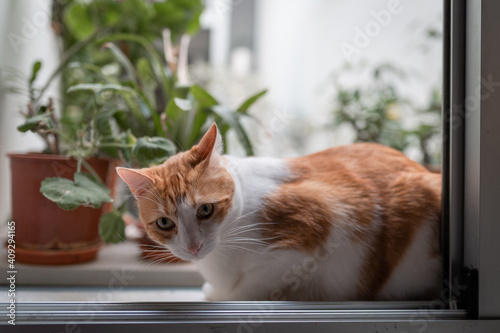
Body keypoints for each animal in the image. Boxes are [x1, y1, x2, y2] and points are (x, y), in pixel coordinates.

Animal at [118, 122, 442, 300]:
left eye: (206, 209)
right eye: (164, 223)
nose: (192, 247)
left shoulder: (323, 229)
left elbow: (251, 286)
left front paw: (223, 294)